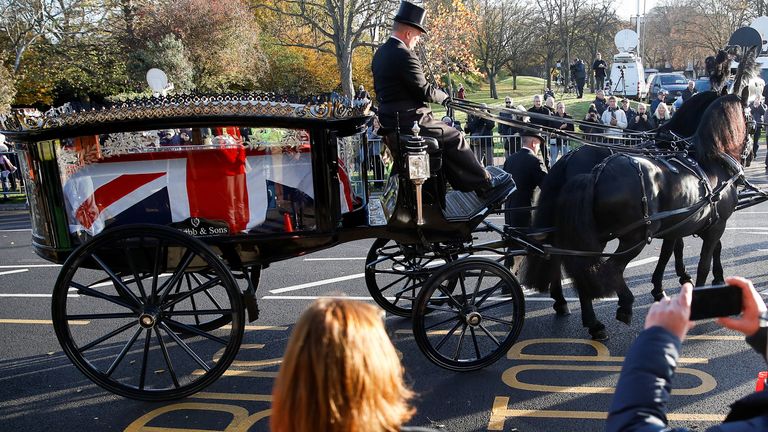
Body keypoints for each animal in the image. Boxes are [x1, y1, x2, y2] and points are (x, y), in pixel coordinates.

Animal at [544, 93, 748, 340]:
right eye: (749, 114)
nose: (748, 154)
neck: (711, 160)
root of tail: (593, 171)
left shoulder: (680, 225)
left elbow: (671, 252)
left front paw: (663, 286)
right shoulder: (715, 224)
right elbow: (703, 260)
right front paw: (702, 285)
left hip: (592, 236)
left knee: (580, 267)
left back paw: (589, 320)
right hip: (633, 237)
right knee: (608, 269)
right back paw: (622, 304)